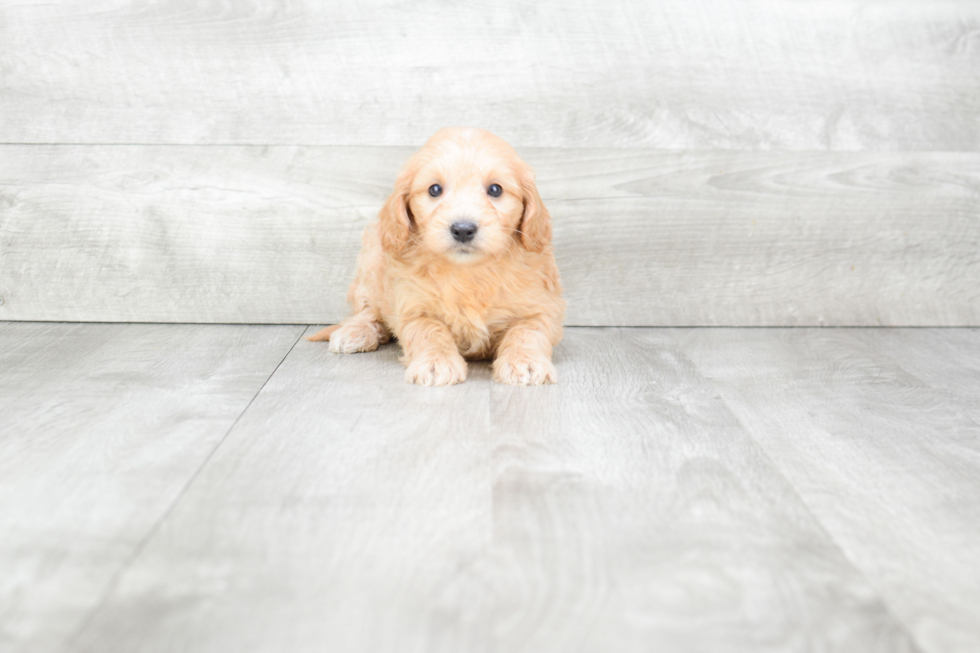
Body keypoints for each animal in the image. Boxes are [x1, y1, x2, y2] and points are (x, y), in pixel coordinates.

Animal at [310, 125, 564, 384]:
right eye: (434, 189)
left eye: (495, 189)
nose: (463, 229)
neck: (468, 271)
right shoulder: (412, 305)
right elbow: (429, 330)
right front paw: (436, 362)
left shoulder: (541, 306)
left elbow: (527, 331)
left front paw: (525, 362)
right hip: (370, 263)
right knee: (369, 310)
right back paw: (355, 332)